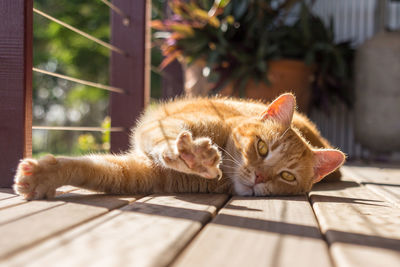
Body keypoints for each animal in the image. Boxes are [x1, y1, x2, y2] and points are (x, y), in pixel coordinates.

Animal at [12, 93, 344, 200]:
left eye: (287, 176)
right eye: (262, 148)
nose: (260, 177)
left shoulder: (140, 174)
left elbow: (95, 169)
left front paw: (42, 177)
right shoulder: (164, 127)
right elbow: (169, 140)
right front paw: (195, 156)